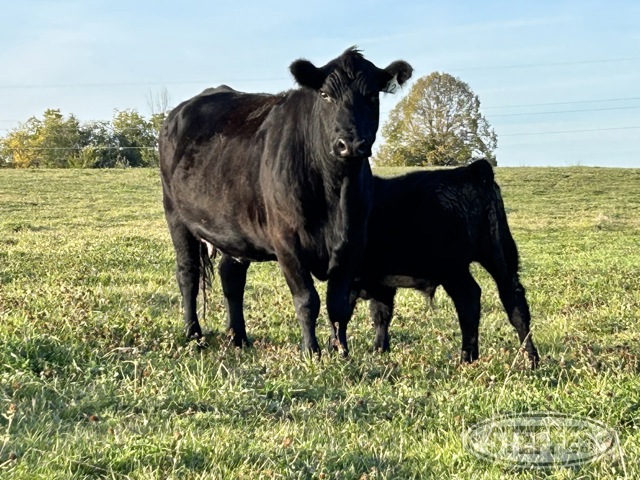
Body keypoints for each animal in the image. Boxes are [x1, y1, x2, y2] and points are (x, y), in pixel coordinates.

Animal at [158, 48, 412, 356]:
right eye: (325, 95)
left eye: (372, 95)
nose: (350, 144)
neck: (335, 193)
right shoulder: (287, 241)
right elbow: (307, 300)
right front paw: (311, 351)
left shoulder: (353, 242)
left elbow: (338, 304)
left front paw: (340, 350)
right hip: (175, 215)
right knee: (188, 274)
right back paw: (193, 334)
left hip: (233, 226)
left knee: (231, 277)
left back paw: (238, 337)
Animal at [356, 158, 540, 368]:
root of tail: (471, 170)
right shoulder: (382, 283)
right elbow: (381, 314)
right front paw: (379, 350)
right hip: (500, 254)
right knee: (515, 302)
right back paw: (531, 359)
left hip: (453, 269)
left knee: (469, 298)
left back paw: (467, 358)